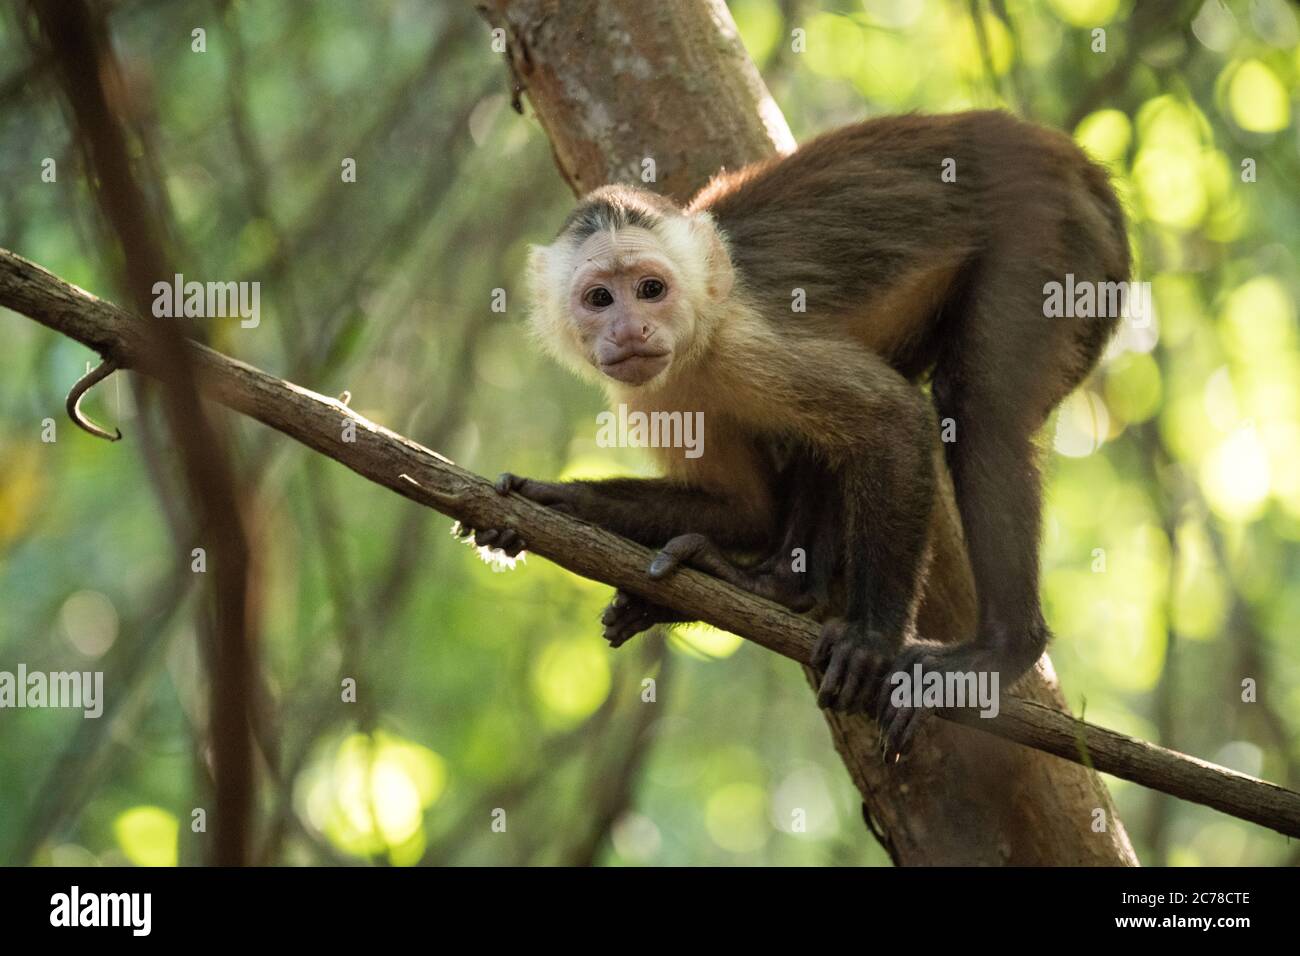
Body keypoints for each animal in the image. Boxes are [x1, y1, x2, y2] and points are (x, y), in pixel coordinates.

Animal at [465, 110, 1128, 754]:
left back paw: (1001, 647)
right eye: (600, 298)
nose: (630, 331)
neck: (700, 338)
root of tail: (1072, 159)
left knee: (974, 403)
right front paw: (547, 502)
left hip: (1054, 240)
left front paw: (871, 640)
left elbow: (894, 421)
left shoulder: (747, 341)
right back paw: (780, 588)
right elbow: (745, 509)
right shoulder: (650, 391)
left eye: (650, 289)